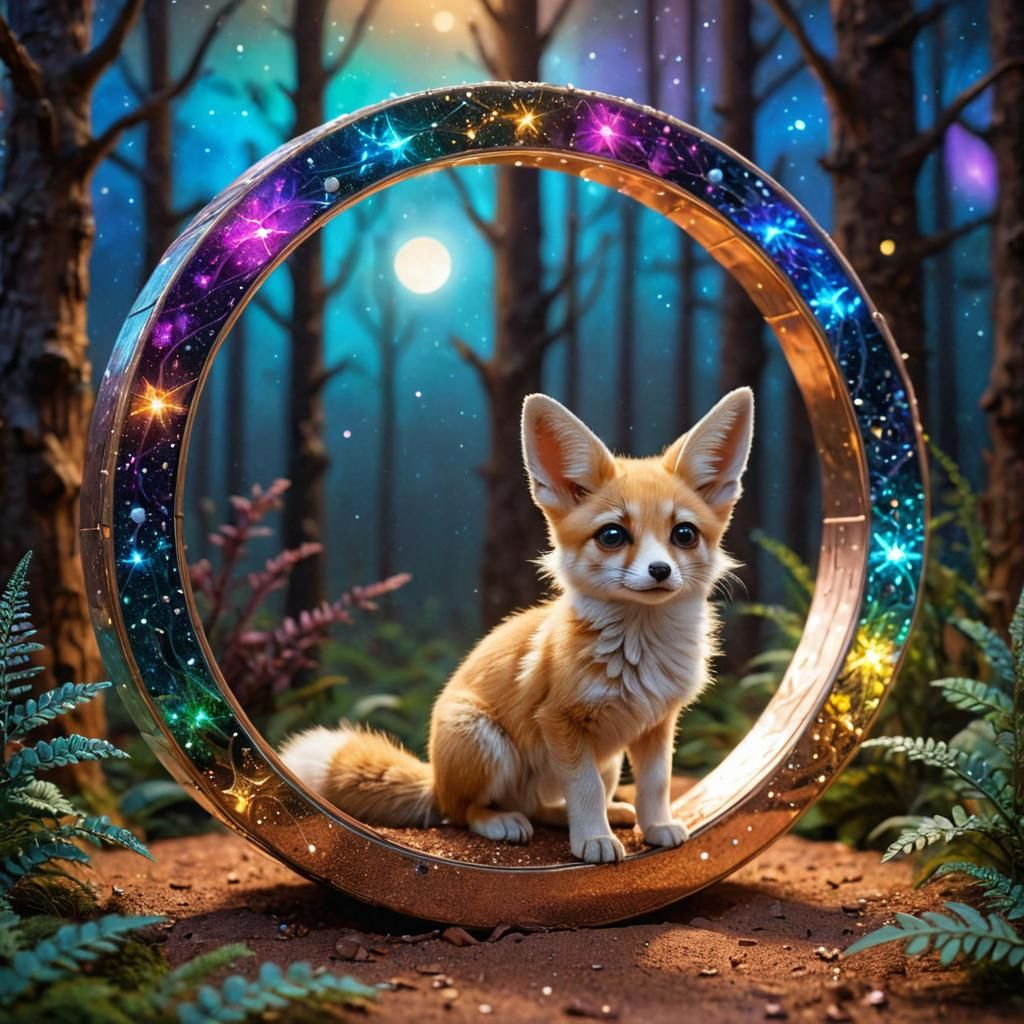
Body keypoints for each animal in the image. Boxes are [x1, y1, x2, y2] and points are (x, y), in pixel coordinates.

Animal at [280, 387, 753, 864]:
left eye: (684, 534)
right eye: (613, 535)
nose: (659, 571)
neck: (640, 652)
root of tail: (436, 780)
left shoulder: (657, 723)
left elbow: (655, 785)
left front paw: (655, 827)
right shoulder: (559, 720)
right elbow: (585, 790)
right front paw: (594, 841)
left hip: (607, 761)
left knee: (546, 805)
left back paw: (599, 814)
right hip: (485, 741)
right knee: (464, 813)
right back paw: (501, 822)